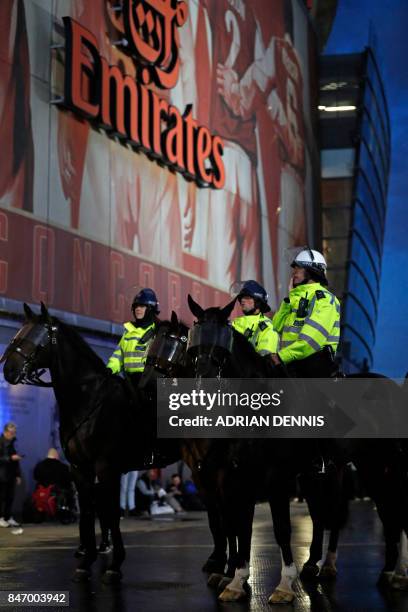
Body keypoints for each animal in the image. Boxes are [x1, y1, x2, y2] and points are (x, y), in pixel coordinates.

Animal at [1, 306, 177, 584]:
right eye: (19, 333)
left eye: (37, 337)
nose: (9, 369)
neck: (90, 401)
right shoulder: (80, 469)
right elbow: (88, 511)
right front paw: (86, 560)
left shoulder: (107, 468)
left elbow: (111, 512)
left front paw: (115, 565)